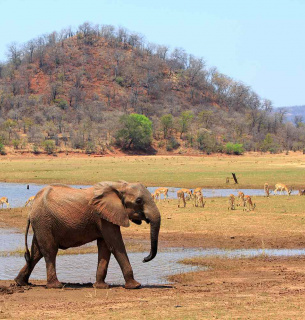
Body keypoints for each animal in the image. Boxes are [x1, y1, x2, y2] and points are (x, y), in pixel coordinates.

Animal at [14, 181, 160, 288]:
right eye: (139, 201)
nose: (144, 259)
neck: (119, 186)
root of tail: (31, 208)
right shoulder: (103, 216)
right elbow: (116, 245)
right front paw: (135, 286)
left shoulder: (105, 216)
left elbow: (105, 247)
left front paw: (101, 287)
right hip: (43, 221)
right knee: (49, 250)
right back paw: (56, 286)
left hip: (41, 223)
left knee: (36, 252)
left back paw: (21, 283)